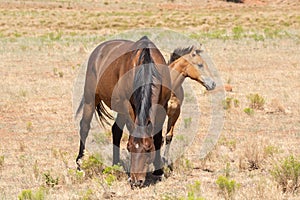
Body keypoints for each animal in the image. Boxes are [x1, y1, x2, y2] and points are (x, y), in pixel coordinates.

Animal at [76, 36, 171, 188]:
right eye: (129, 147)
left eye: (148, 148)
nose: (136, 181)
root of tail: (99, 49)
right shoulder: (128, 105)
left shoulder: (163, 106)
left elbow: (157, 137)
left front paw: (159, 171)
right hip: (91, 98)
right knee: (84, 127)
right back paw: (80, 164)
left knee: (116, 130)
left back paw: (116, 164)